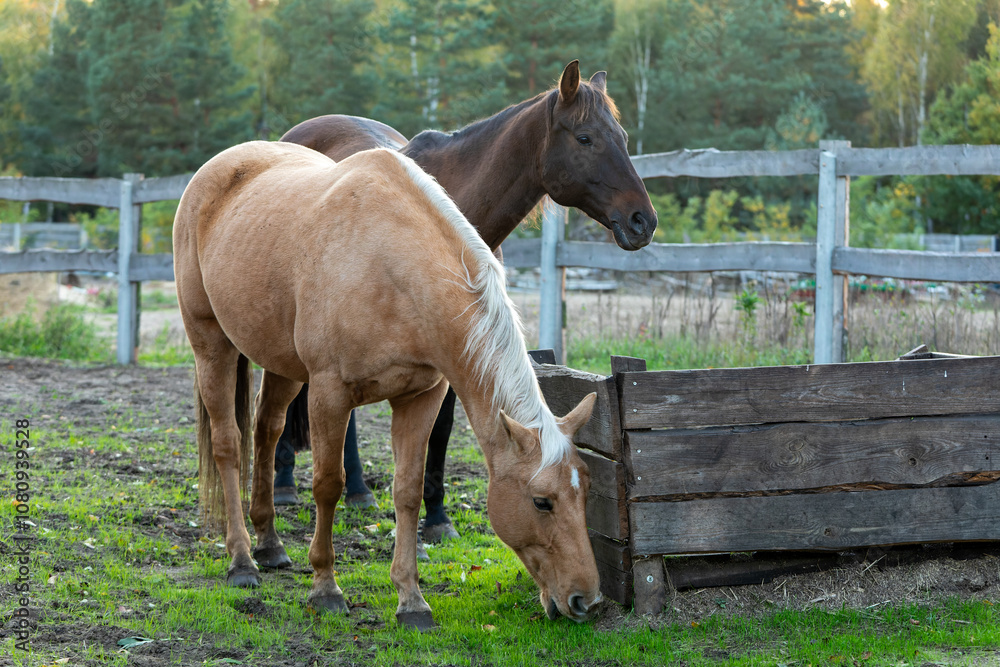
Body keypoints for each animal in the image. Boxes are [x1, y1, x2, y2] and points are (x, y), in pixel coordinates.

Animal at [173, 141, 602, 629]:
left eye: (586, 490)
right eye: (542, 502)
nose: (586, 600)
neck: (391, 265)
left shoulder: (420, 397)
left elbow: (408, 491)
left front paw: (411, 599)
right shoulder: (328, 394)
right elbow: (328, 484)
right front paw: (325, 588)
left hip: (281, 363)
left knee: (267, 429)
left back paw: (270, 543)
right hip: (212, 346)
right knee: (229, 444)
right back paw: (242, 561)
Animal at [277, 60, 657, 536]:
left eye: (622, 137)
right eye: (585, 138)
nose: (643, 220)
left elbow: (440, 430)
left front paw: (437, 514)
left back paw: (360, 490)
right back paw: (283, 482)